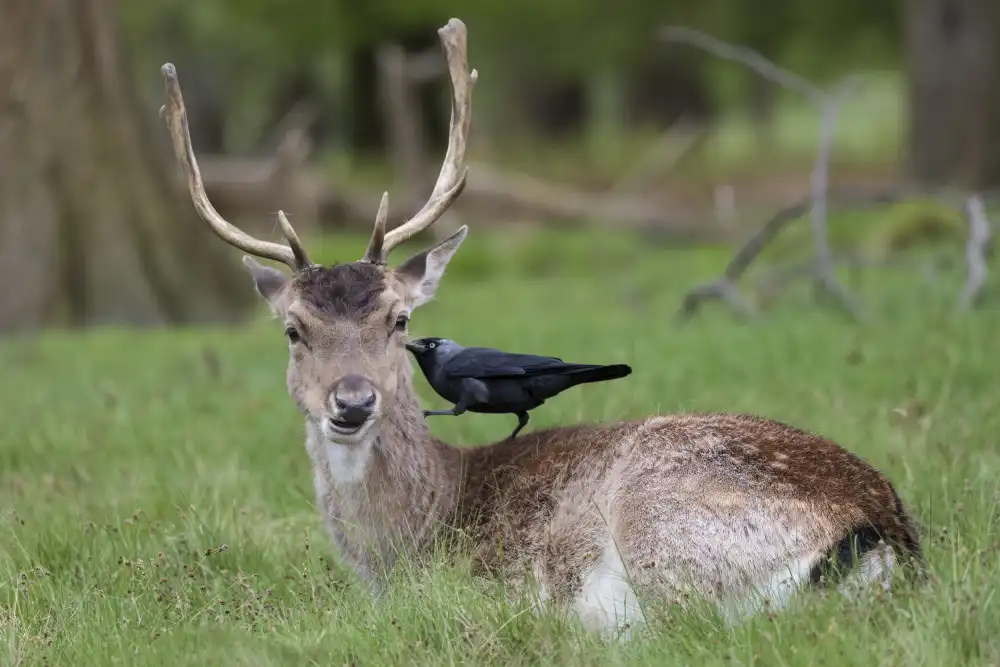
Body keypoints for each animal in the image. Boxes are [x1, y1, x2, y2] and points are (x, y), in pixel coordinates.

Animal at [157, 18, 922, 636]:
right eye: (293, 329)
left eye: (399, 319)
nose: (351, 400)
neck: (409, 545)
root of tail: (881, 533)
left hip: (657, 519)